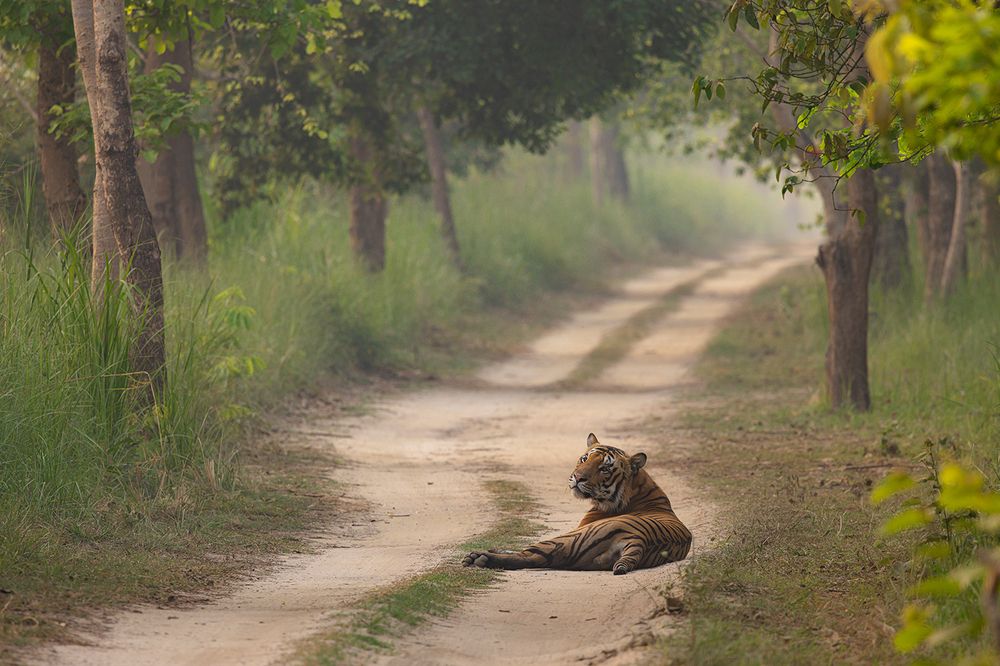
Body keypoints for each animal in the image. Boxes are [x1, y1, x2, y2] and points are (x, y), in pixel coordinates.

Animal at [462, 433, 692, 575]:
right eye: (584, 459)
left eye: (605, 468)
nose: (578, 478)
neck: (640, 488)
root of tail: (640, 540)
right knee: (536, 558)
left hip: (568, 539)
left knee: (530, 555)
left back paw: (478, 558)